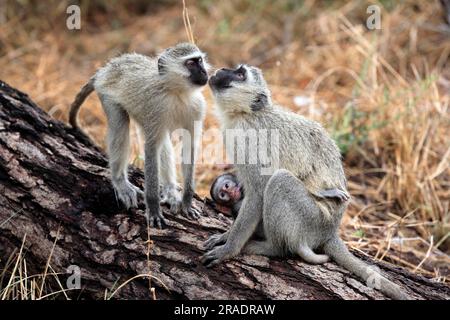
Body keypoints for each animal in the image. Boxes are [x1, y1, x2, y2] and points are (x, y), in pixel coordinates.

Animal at [68, 43, 209, 228]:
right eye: (191, 63)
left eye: (200, 60)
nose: (205, 72)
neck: (177, 92)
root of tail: (108, 67)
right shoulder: (155, 107)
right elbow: (151, 149)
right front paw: (154, 209)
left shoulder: (197, 107)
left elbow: (189, 147)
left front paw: (187, 202)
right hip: (106, 92)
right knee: (120, 129)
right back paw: (120, 181)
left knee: (162, 142)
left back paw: (170, 190)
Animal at [202, 65, 410, 300]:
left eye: (240, 74)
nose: (221, 69)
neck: (247, 114)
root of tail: (330, 230)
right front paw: (225, 236)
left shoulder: (250, 140)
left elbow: (257, 193)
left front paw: (229, 248)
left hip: (313, 218)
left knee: (279, 181)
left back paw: (272, 248)